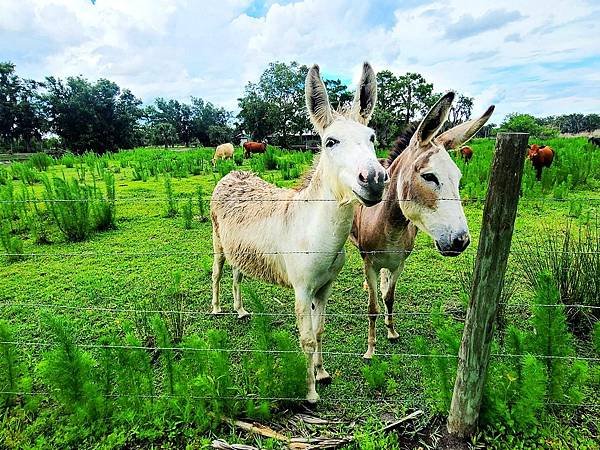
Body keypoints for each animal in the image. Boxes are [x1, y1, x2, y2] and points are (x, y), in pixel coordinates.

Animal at [213, 62, 386, 400]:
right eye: (330, 142)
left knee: (237, 277)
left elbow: (319, 331)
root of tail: (233, 173)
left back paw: (240, 310)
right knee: (216, 273)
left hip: (239, 249)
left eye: (372, 137)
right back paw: (216, 309)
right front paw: (310, 393)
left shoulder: (325, 287)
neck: (316, 232)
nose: (374, 180)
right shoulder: (302, 289)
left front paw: (322, 373)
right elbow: (305, 338)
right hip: (217, 243)